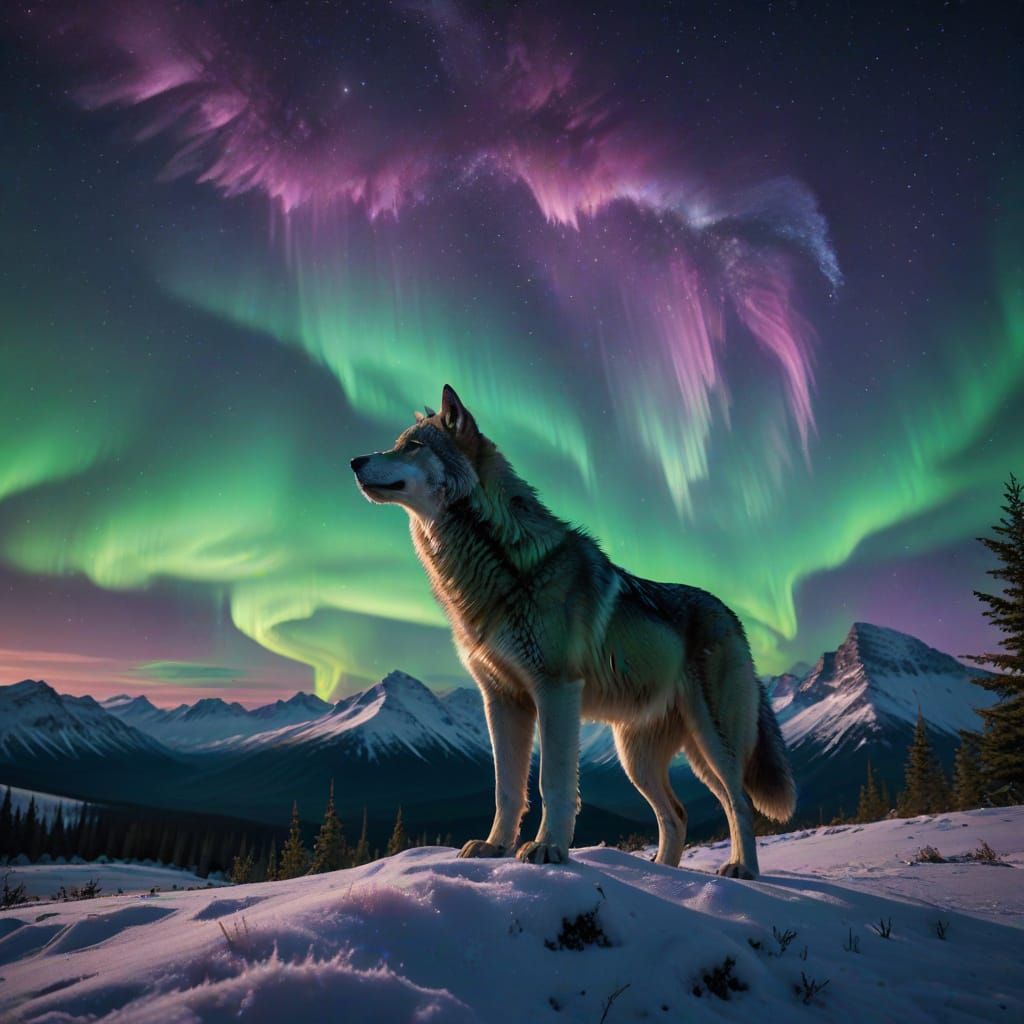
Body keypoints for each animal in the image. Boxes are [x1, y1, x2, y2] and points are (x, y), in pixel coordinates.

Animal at [351, 385, 795, 877]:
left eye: (411, 446)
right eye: (397, 443)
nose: (353, 461)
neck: (500, 559)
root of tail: (733, 618)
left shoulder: (555, 691)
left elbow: (553, 783)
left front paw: (548, 850)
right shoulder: (500, 700)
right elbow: (506, 788)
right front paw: (495, 847)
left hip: (712, 741)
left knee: (739, 802)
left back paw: (741, 870)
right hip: (640, 757)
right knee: (677, 813)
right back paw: (661, 873)